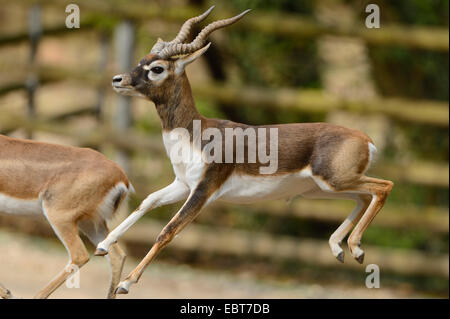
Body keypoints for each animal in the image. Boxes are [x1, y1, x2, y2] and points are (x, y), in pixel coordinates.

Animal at [96, 6, 394, 296]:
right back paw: (343, 250)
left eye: (157, 68)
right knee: (363, 197)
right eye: (141, 60)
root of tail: (365, 138)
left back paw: (355, 248)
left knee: (383, 186)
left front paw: (125, 283)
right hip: (320, 189)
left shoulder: (204, 191)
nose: (118, 79)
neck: (196, 133)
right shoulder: (183, 184)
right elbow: (148, 201)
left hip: (334, 181)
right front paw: (103, 245)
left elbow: (167, 231)